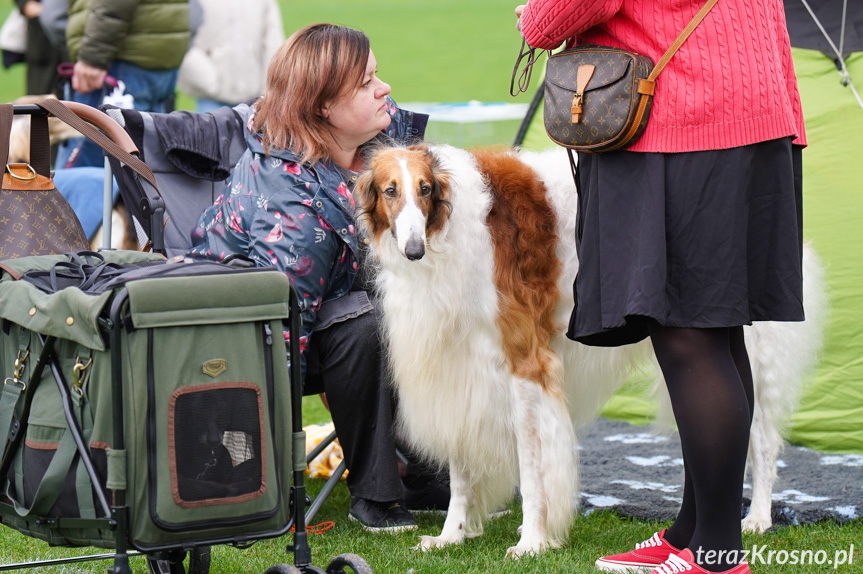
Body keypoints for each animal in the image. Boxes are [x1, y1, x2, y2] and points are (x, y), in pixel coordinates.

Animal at [352, 143, 832, 560]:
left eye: (424, 188)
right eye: (390, 190)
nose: (412, 250)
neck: (450, 230)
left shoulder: (526, 363)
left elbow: (533, 469)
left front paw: (533, 540)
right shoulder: (457, 365)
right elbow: (461, 473)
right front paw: (451, 535)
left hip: (750, 347)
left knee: (762, 441)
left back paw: (758, 517)